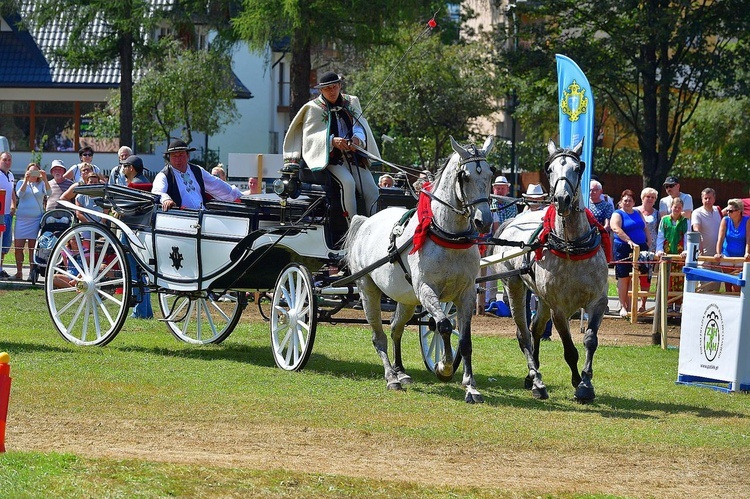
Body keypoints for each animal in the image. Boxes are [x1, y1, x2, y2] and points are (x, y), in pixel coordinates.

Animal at [346, 136, 500, 402]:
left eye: (491, 174)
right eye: (465, 176)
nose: (484, 221)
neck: (448, 236)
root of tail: (366, 221)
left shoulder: (466, 293)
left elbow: (465, 340)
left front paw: (470, 386)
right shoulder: (426, 289)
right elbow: (444, 326)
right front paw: (444, 367)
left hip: (406, 298)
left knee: (395, 328)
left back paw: (401, 372)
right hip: (368, 290)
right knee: (379, 337)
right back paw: (391, 377)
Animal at [494, 140, 612, 402]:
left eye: (578, 168)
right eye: (549, 169)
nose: (562, 199)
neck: (571, 246)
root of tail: (512, 222)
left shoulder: (598, 301)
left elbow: (590, 340)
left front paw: (586, 383)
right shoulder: (559, 308)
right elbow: (569, 350)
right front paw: (578, 382)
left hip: (542, 298)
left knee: (535, 329)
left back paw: (532, 376)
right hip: (514, 286)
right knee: (524, 334)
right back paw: (537, 381)